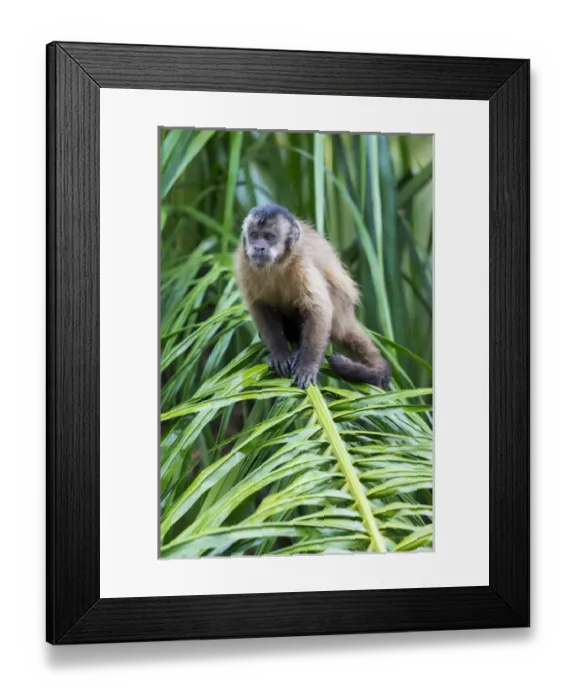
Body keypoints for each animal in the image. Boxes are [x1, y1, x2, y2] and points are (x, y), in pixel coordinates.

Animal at [233, 203, 391, 391]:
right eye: (254, 236)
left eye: (269, 237)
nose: (259, 247)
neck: (276, 265)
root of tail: (346, 319)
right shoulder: (244, 264)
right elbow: (260, 307)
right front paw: (280, 354)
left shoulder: (301, 264)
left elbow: (319, 309)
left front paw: (307, 366)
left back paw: (298, 350)